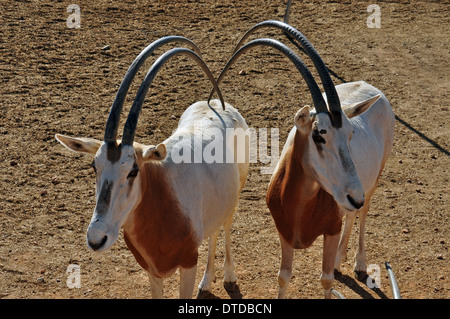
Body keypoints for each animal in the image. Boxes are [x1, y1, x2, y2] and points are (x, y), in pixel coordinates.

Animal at [55, 37, 250, 300]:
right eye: (94, 166)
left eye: (133, 171)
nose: (96, 238)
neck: (162, 192)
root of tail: (217, 105)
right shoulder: (151, 270)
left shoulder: (189, 262)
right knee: (214, 231)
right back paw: (207, 282)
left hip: (235, 194)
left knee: (226, 227)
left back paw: (228, 276)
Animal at [211, 21, 394, 298]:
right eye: (319, 135)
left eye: (350, 134)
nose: (354, 196)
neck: (300, 206)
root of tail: (371, 88)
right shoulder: (284, 233)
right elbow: (283, 277)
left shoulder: (331, 229)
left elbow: (326, 280)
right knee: (352, 215)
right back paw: (340, 260)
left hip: (372, 183)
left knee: (361, 214)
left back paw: (360, 264)